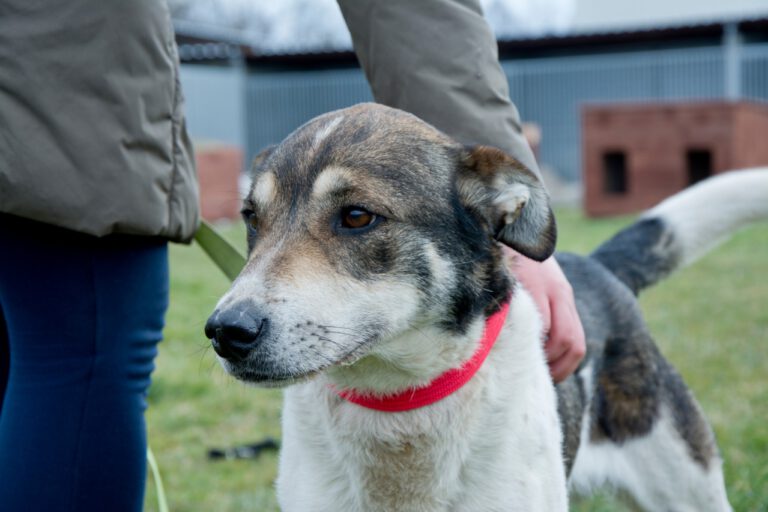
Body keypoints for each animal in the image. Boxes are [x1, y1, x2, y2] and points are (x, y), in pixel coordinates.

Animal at [204, 102, 768, 510]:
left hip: (688, 486)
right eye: (252, 218)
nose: (226, 331)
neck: (399, 403)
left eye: (358, 216)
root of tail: (597, 267)